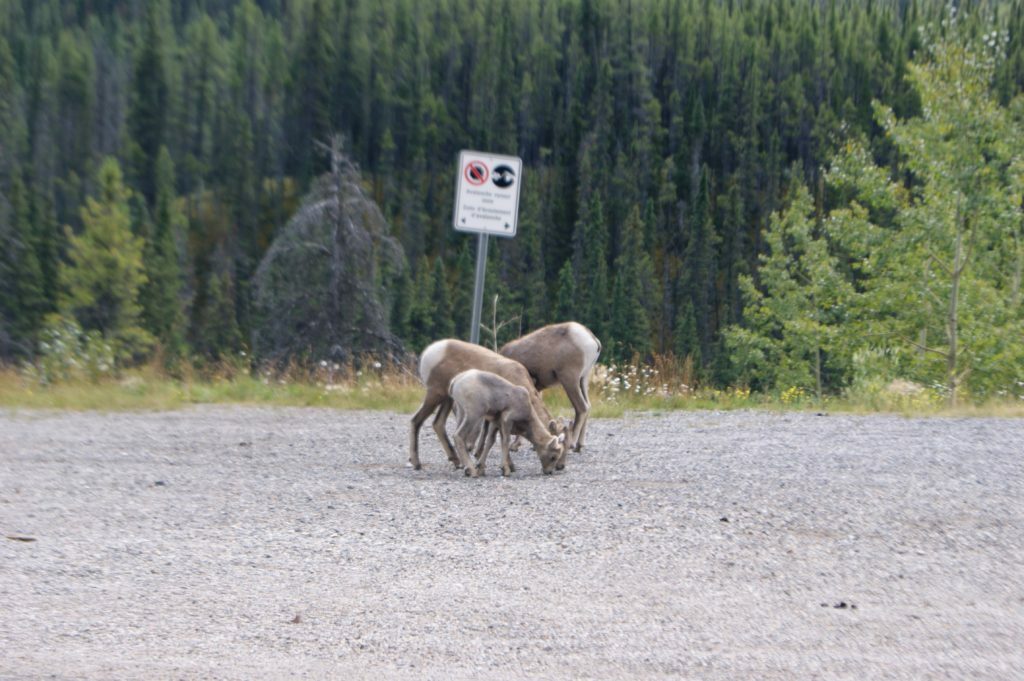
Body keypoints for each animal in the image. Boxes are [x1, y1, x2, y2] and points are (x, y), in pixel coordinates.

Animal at [409, 337, 569, 471]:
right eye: (555, 454)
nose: (560, 467)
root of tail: (430, 352)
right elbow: (499, 438)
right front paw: (506, 466)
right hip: (435, 394)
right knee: (416, 420)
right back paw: (416, 463)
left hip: (447, 399)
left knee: (438, 423)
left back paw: (456, 460)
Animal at [497, 321, 598, 454]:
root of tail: (592, 340)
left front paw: (515, 446)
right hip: (583, 380)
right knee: (589, 406)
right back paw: (579, 446)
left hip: (570, 381)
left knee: (582, 408)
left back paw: (572, 445)